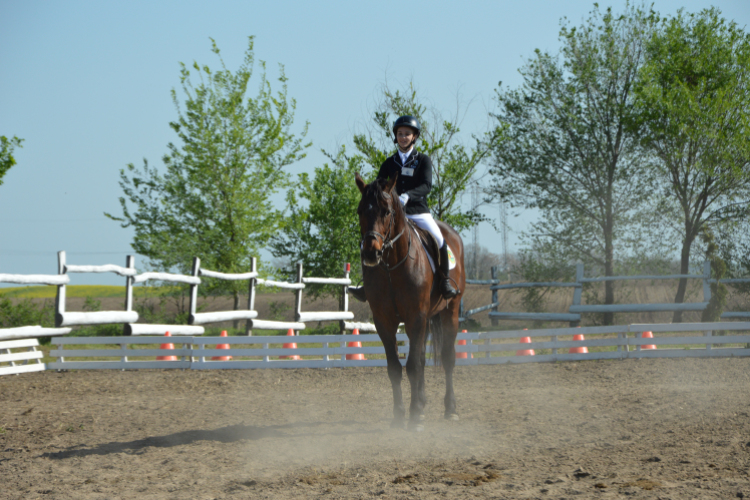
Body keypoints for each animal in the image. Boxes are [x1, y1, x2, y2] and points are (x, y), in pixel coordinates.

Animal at [356, 172, 468, 430]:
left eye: (387, 211)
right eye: (359, 211)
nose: (370, 253)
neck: (391, 266)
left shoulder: (415, 318)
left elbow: (413, 366)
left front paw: (415, 415)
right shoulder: (384, 321)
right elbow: (395, 368)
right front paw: (400, 415)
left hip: (450, 311)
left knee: (447, 358)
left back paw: (450, 409)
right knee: (423, 359)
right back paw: (424, 403)